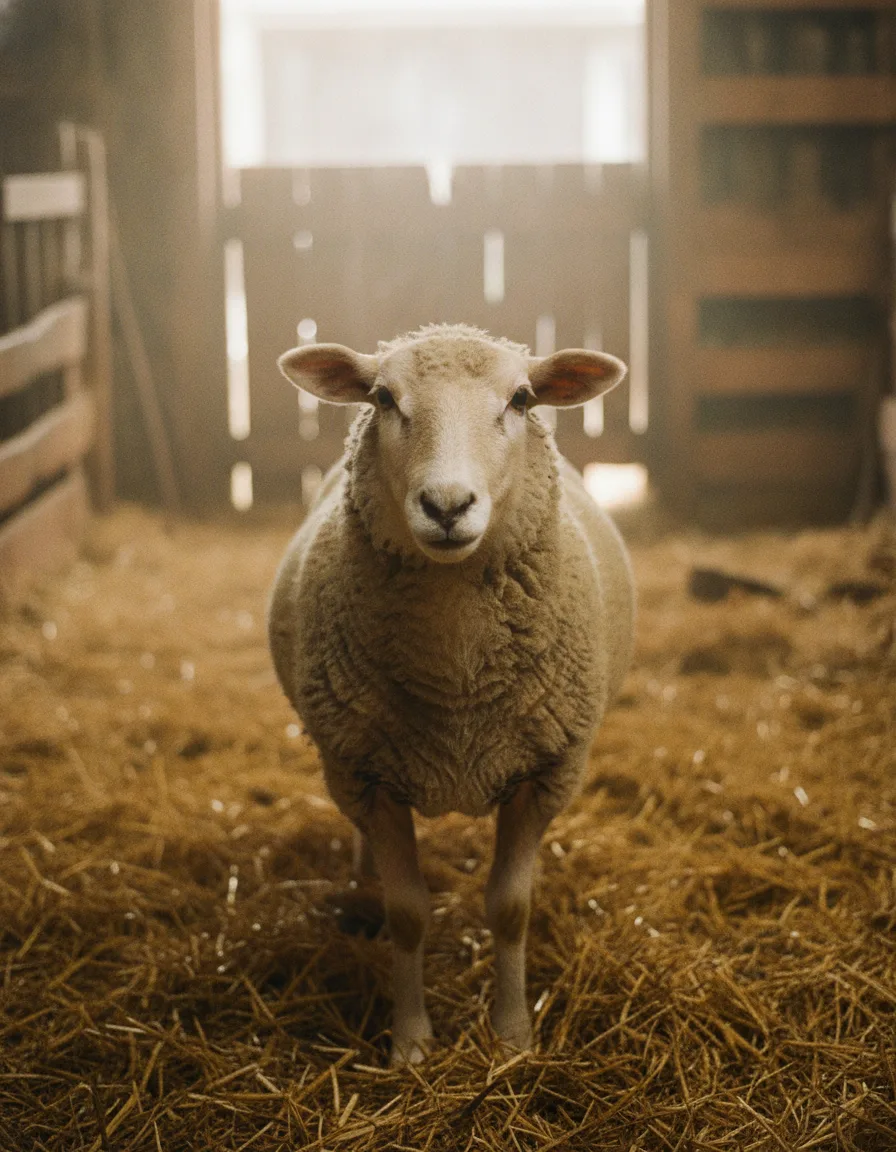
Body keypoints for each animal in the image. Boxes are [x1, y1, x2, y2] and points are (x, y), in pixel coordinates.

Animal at [269, 323, 635, 1065]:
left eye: (521, 399)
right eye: (383, 398)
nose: (446, 506)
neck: (457, 681)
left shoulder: (543, 775)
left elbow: (510, 908)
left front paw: (513, 1034)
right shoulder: (368, 774)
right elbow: (408, 914)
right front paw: (410, 1044)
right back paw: (362, 881)